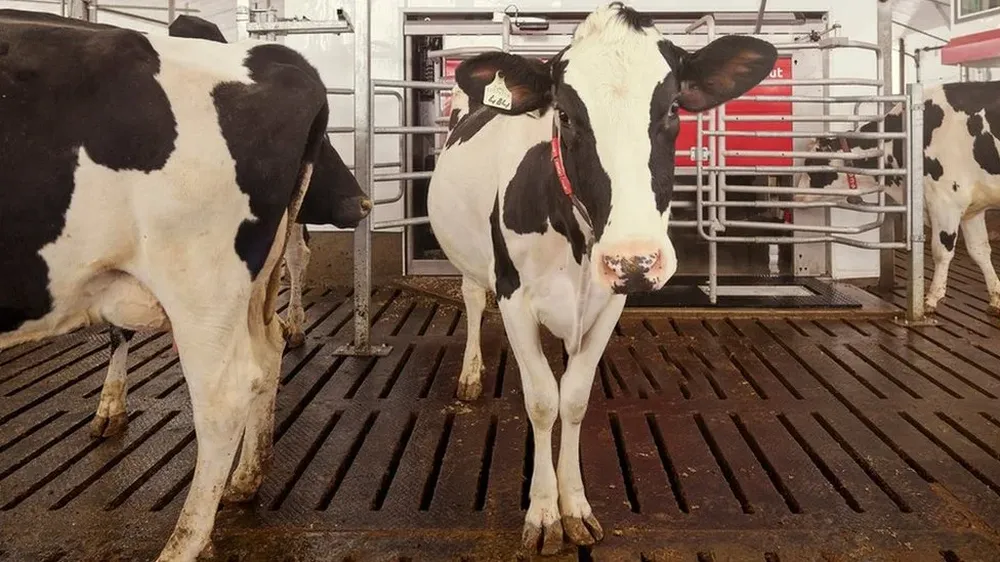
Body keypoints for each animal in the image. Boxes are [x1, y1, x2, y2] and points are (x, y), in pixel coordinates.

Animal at [427, 2, 777, 554]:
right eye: (566, 115)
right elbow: (541, 401)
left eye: (672, 111)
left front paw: (574, 507)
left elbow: (572, 398)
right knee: (472, 298)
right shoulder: (513, 295)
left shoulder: (610, 302)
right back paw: (471, 374)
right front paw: (543, 514)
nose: (633, 259)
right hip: (471, 260)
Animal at [794, 80, 1000, 316]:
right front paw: (996, 298)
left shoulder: (946, 200)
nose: (796, 195)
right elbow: (980, 251)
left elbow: (942, 251)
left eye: (812, 163)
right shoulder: (972, 208)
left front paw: (931, 299)